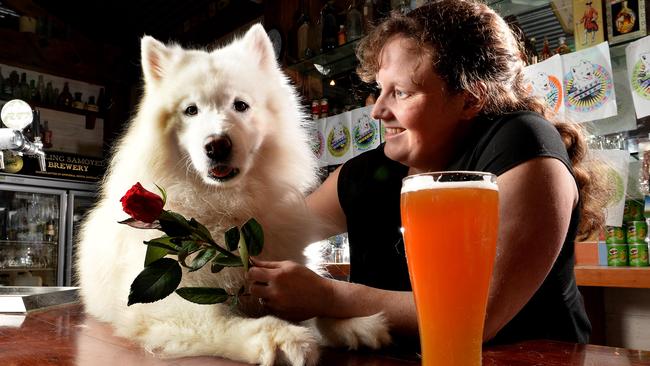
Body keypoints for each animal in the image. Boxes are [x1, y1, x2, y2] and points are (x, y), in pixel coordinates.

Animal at [76, 24, 390, 364]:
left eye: (240, 105)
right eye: (191, 110)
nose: (217, 146)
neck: (226, 204)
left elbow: (314, 300)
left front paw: (351, 323)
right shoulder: (167, 303)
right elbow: (223, 321)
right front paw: (281, 337)